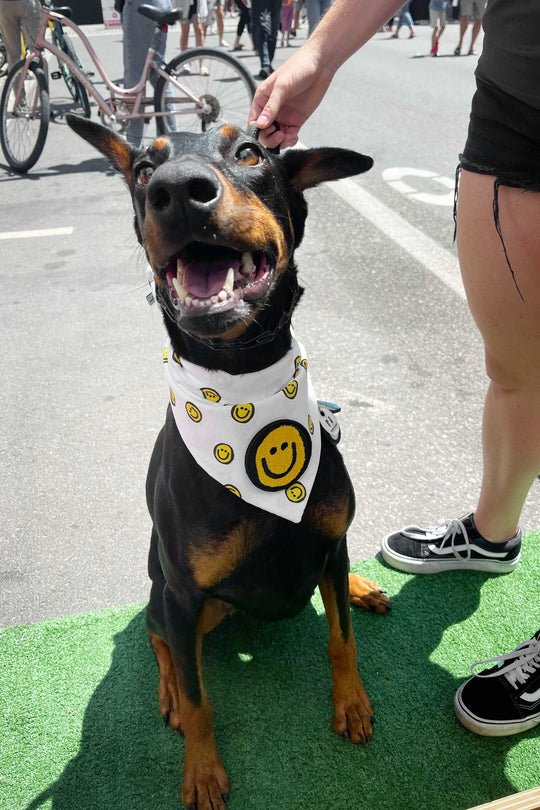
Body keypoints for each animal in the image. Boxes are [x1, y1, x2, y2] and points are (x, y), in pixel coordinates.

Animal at [67, 113, 390, 808]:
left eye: (249, 152)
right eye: (142, 169)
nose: (177, 189)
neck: (244, 387)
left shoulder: (330, 535)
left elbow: (341, 639)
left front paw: (352, 704)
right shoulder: (187, 593)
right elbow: (198, 699)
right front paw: (202, 770)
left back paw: (359, 585)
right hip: (176, 594)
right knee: (157, 636)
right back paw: (165, 688)